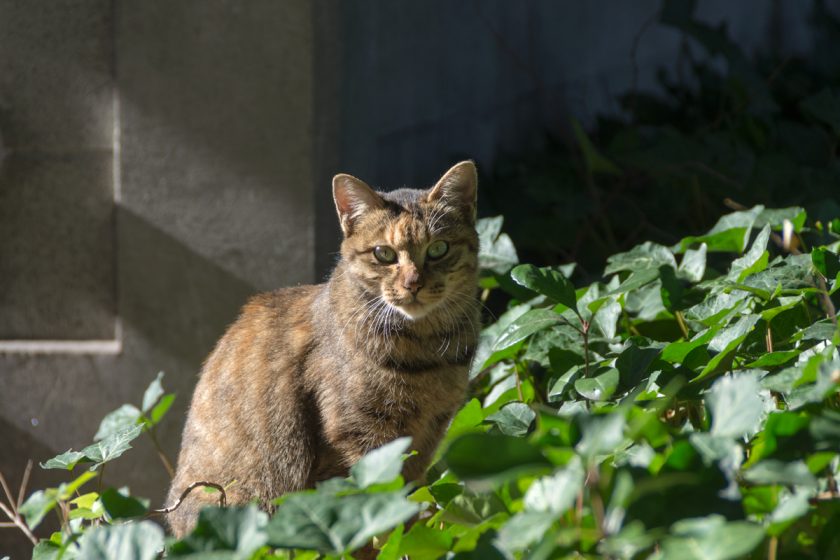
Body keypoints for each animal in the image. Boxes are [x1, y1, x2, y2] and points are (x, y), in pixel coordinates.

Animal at [166, 160, 480, 536]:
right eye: (383, 254)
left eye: (438, 249)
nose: (413, 284)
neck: (426, 351)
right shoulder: (354, 442)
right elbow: (369, 518)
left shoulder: (427, 438)